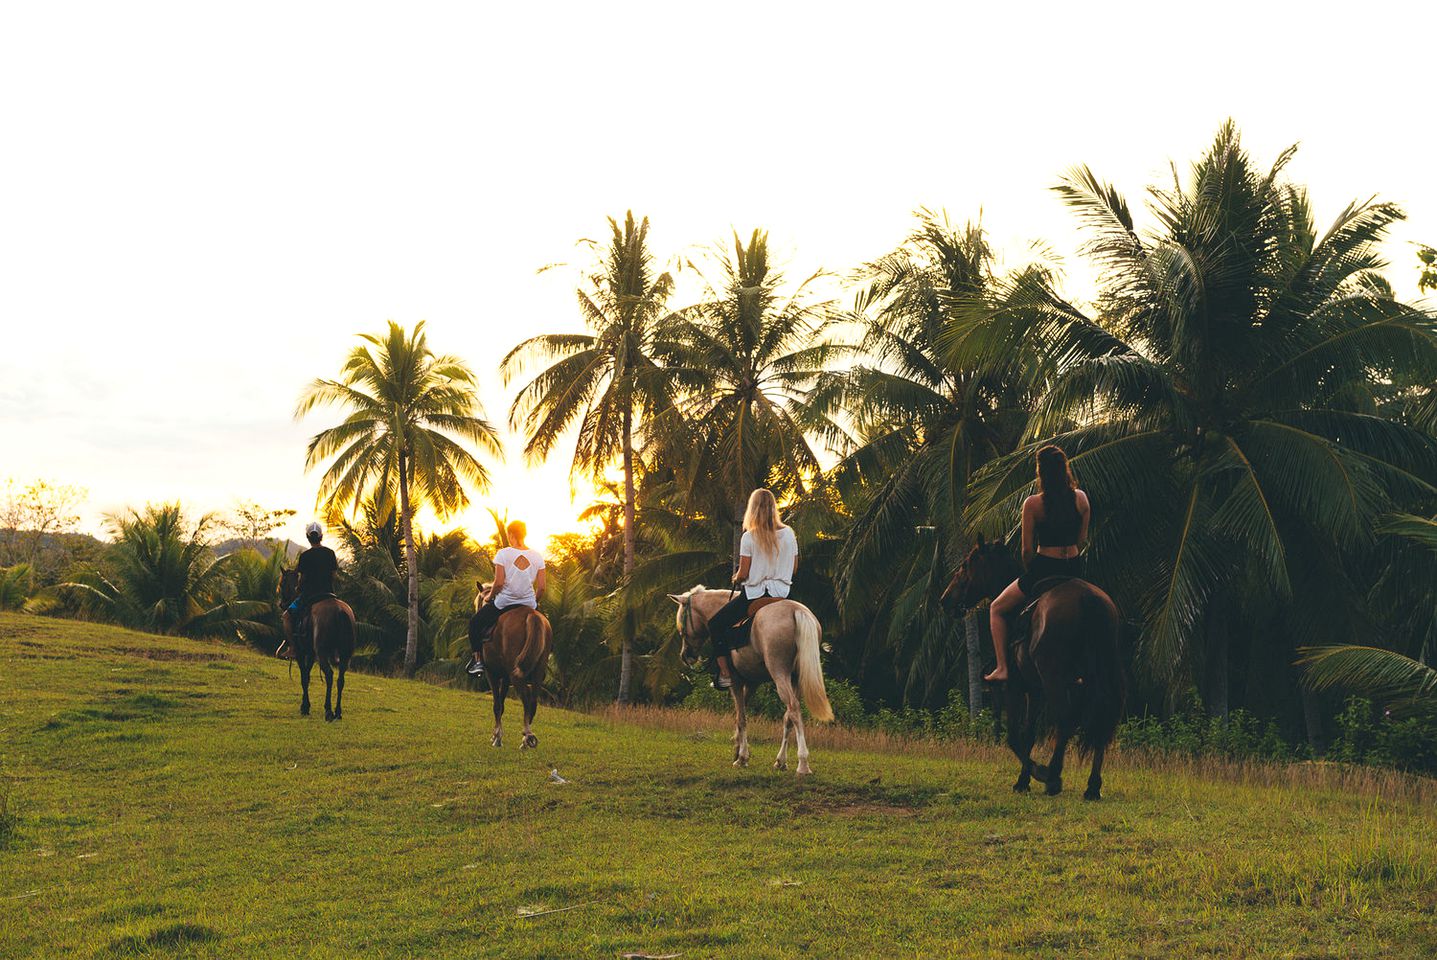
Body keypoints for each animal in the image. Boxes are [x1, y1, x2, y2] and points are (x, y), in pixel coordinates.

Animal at [277, 569, 353, 718]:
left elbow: (304, 677)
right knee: (341, 679)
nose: (282, 604)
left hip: (322, 653)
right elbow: (307, 675)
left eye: (282, 584)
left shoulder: (301, 653)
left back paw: (328, 710)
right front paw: (305, 705)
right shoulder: (311, 654)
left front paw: (305, 707)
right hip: (345, 655)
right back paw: (338, 712)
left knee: (329, 675)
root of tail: (340, 611)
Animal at [468, 592, 551, 747]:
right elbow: (502, 704)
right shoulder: (506, 677)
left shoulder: (491, 673)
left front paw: (497, 737)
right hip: (538, 670)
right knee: (533, 701)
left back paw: (527, 735)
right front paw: (497, 735)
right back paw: (526, 737)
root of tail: (531, 615)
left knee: (526, 697)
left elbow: (497, 705)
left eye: (478, 602)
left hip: (515, 674)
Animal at [669, 586, 839, 781]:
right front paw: (738, 749)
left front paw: (742, 757)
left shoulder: (736, 682)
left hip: (779, 672)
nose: (686, 656)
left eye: (681, 627)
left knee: (793, 708)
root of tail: (797, 611)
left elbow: (741, 718)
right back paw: (781, 761)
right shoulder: (751, 683)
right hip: (796, 679)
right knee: (788, 716)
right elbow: (740, 716)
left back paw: (803, 764)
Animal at [936, 540, 1126, 804]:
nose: (944, 599)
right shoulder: (1035, 690)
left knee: (1065, 719)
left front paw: (1034, 773)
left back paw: (1053, 776)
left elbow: (1014, 736)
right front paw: (1023, 780)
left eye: (965, 566)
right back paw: (1092, 787)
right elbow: (1029, 734)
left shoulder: (1015, 687)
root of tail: (1088, 599)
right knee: (1102, 723)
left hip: (1054, 678)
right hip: (1100, 677)